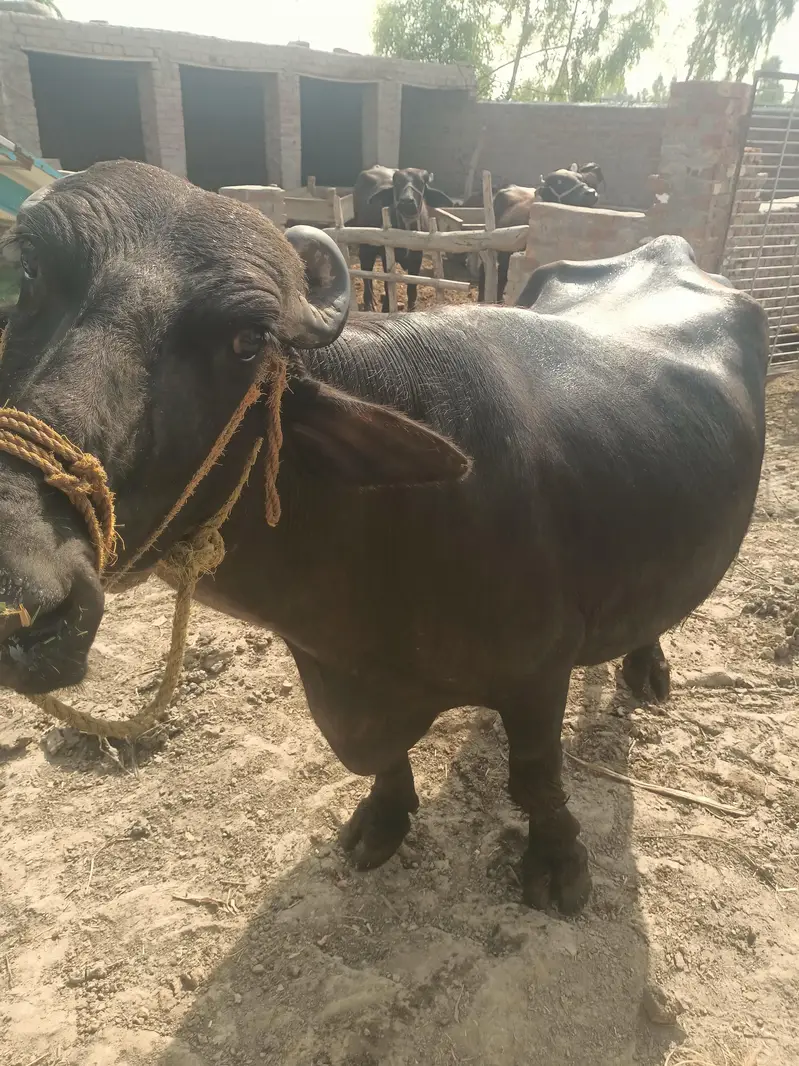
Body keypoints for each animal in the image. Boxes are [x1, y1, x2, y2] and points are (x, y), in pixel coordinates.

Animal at [0, 162, 767, 914]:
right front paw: (384, 818)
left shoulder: (540, 672)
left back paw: (648, 668)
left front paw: (557, 862)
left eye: (248, 342)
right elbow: (382, 763)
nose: (23, 580)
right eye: (28, 274)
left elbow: (535, 779)